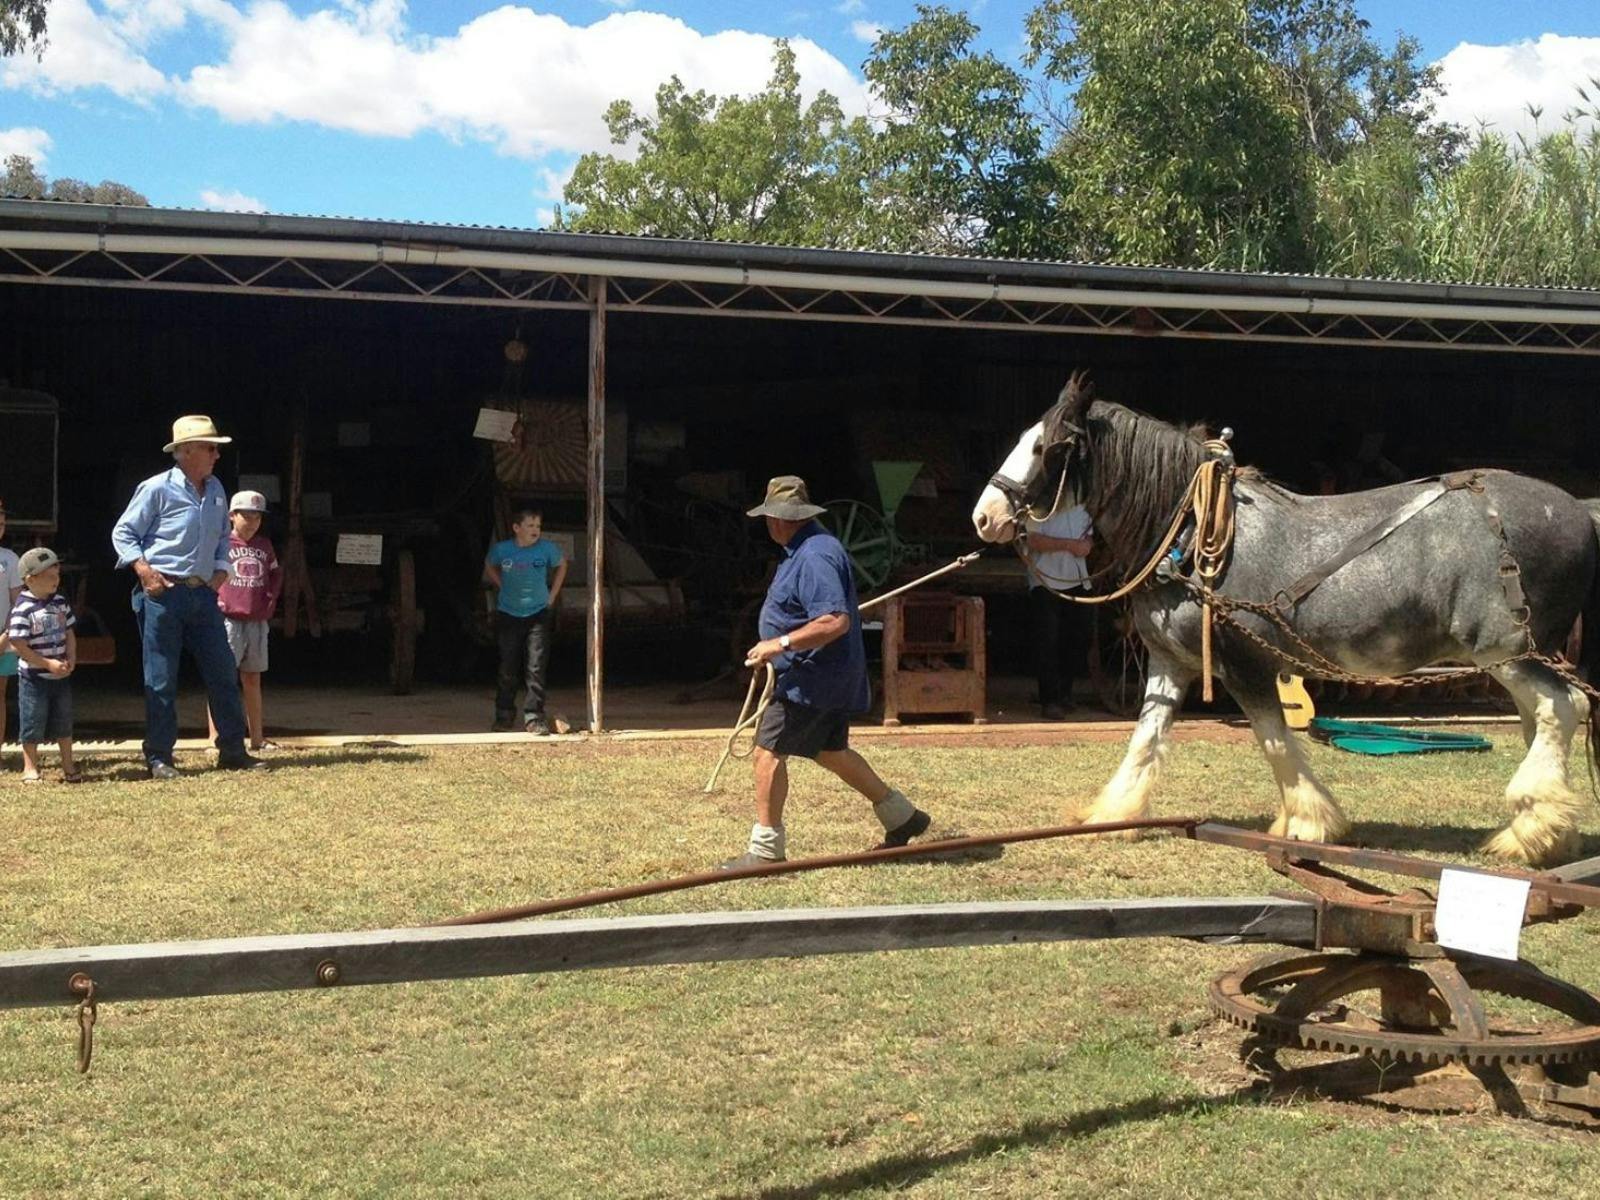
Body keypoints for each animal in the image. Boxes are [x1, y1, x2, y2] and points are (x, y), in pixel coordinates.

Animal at [971, 374, 1600, 866]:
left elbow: (1274, 739)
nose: (985, 515)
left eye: (1047, 447)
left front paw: (1308, 821)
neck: (1188, 529)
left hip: (1504, 650)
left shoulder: (1243, 662)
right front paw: (1112, 813)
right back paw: (1545, 831)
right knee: (1544, 719)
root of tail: (1578, 509)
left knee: (1562, 707)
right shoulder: (1170, 662)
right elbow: (1144, 741)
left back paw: (1531, 828)